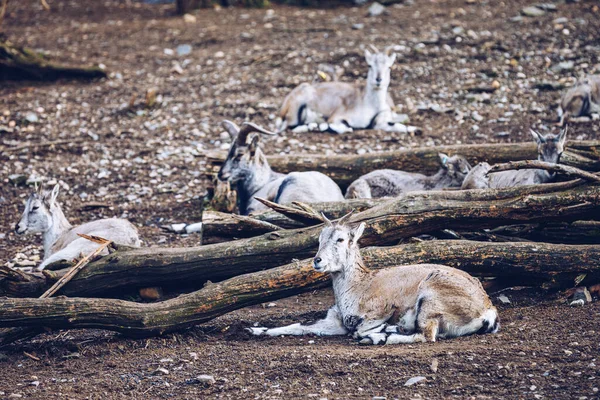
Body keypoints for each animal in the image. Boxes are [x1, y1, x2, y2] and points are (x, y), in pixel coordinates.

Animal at [246, 212, 500, 344]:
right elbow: (299, 326)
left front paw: (380, 331)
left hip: (430, 299)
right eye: (319, 239)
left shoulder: (380, 311)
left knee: (426, 335)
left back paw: (382, 336)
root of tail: (487, 310)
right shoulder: (337, 322)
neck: (358, 288)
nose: (317, 260)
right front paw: (254, 330)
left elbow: (360, 329)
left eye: (340, 239)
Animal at [278, 44, 412, 134]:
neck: (370, 104)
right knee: (290, 127)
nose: (378, 80)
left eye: (389, 66)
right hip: (295, 113)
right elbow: (346, 127)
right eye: (370, 65)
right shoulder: (337, 117)